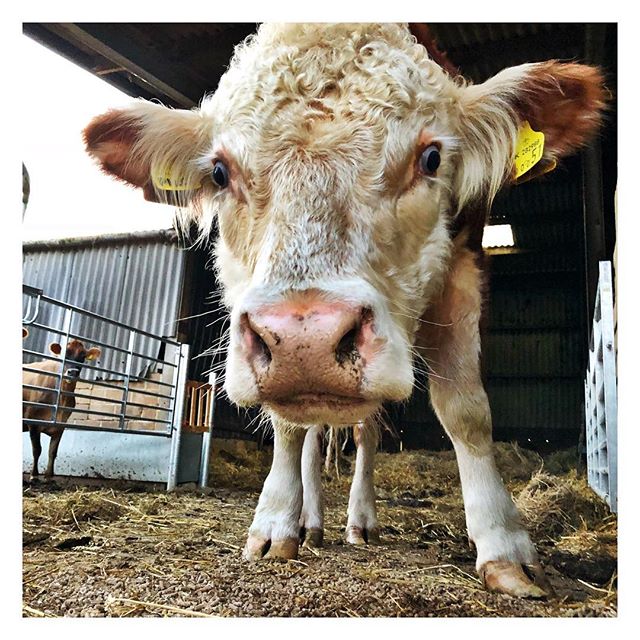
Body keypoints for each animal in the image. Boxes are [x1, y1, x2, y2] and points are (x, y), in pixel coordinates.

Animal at [22, 338, 100, 478]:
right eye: (64, 354)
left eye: (83, 356)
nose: (72, 372)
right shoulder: (32, 421)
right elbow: (37, 450)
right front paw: (34, 475)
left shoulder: (61, 425)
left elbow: (53, 451)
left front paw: (49, 475)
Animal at [84, 23, 604, 596]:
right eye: (219, 172)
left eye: (431, 158)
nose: (305, 341)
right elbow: (288, 428)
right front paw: (275, 522)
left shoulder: (466, 266)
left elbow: (466, 412)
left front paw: (504, 546)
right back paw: (309, 520)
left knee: (364, 432)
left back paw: (357, 520)